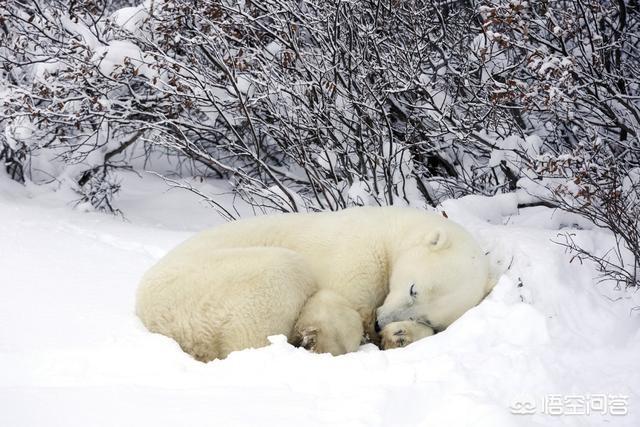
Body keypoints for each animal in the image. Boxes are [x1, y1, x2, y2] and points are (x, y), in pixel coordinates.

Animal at [138, 207, 492, 362]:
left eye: (426, 316)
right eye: (413, 288)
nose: (381, 322)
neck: (390, 231)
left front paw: (400, 335)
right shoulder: (357, 254)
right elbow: (336, 301)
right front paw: (326, 337)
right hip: (208, 285)